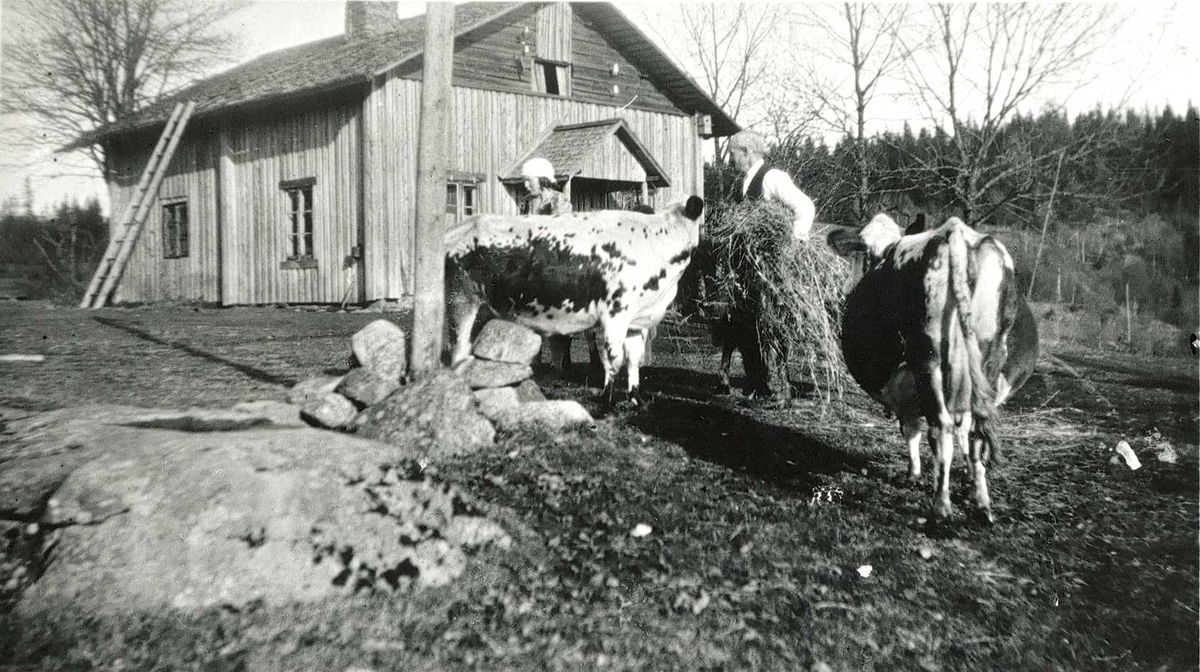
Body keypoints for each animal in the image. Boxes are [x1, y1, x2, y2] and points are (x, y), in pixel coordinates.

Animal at [444, 194, 700, 403]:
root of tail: (459, 227)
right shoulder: (615, 313)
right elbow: (613, 357)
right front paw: (607, 401)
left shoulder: (637, 320)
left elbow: (633, 359)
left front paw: (635, 398)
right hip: (461, 302)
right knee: (458, 351)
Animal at [825, 212, 1041, 523]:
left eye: (866, 255)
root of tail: (956, 233)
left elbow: (913, 428)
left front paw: (915, 473)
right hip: (986, 361)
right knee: (974, 432)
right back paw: (982, 504)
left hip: (930, 360)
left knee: (942, 429)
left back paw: (942, 507)